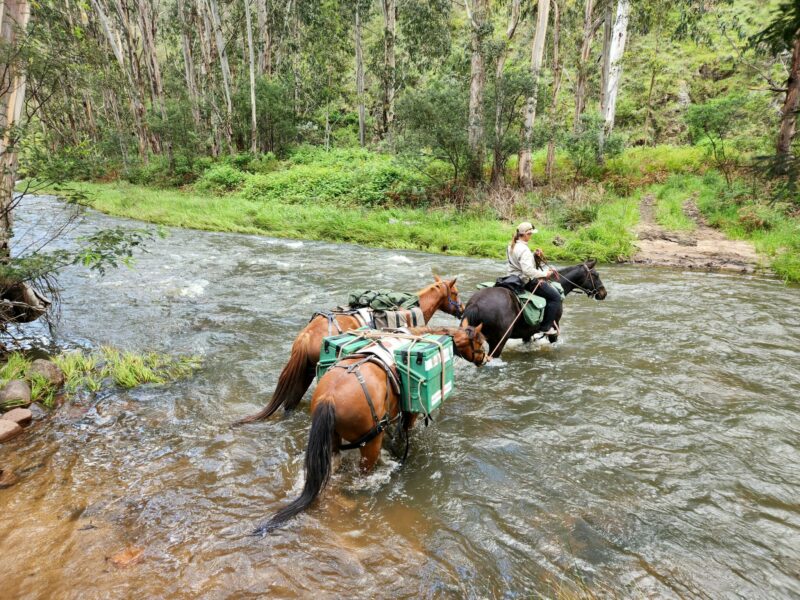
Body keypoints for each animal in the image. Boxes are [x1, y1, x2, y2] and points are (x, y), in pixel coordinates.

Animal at [254, 324, 487, 534]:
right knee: (362, 475)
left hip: (334, 441)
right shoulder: (408, 414)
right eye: (479, 342)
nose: (485, 359)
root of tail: (329, 397)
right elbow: (404, 432)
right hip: (370, 445)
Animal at [461, 260, 607, 357]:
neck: (557, 285)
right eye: (596, 275)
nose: (603, 293)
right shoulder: (555, 328)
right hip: (498, 341)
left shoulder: (527, 333)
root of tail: (475, 304)